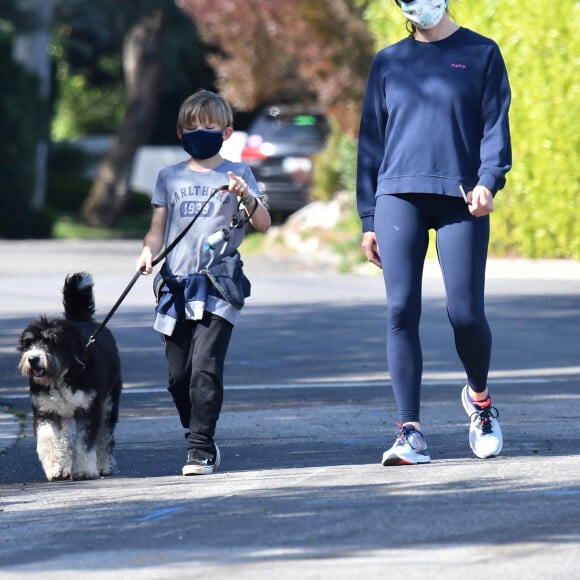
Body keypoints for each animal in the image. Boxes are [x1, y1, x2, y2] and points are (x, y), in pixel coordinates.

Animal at [17, 272, 121, 480]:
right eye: (29, 343)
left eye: (51, 342)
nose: (33, 359)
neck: (61, 377)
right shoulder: (46, 410)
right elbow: (49, 439)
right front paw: (55, 468)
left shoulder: (89, 409)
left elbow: (86, 444)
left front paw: (84, 471)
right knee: (64, 438)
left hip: (109, 402)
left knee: (105, 437)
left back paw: (104, 465)